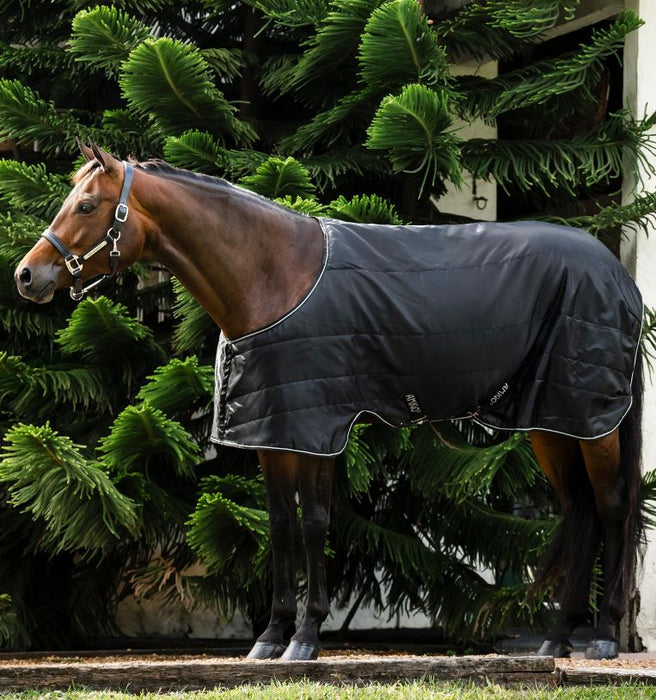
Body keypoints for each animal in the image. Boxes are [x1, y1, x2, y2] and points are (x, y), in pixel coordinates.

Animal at [14, 143, 644, 661]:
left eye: (87, 206)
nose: (26, 276)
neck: (274, 277)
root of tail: (618, 275)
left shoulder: (318, 428)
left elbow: (315, 523)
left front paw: (306, 637)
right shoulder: (274, 430)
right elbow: (280, 525)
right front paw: (270, 638)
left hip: (593, 421)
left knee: (611, 507)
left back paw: (604, 636)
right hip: (553, 421)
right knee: (579, 511)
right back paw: (556, 638)